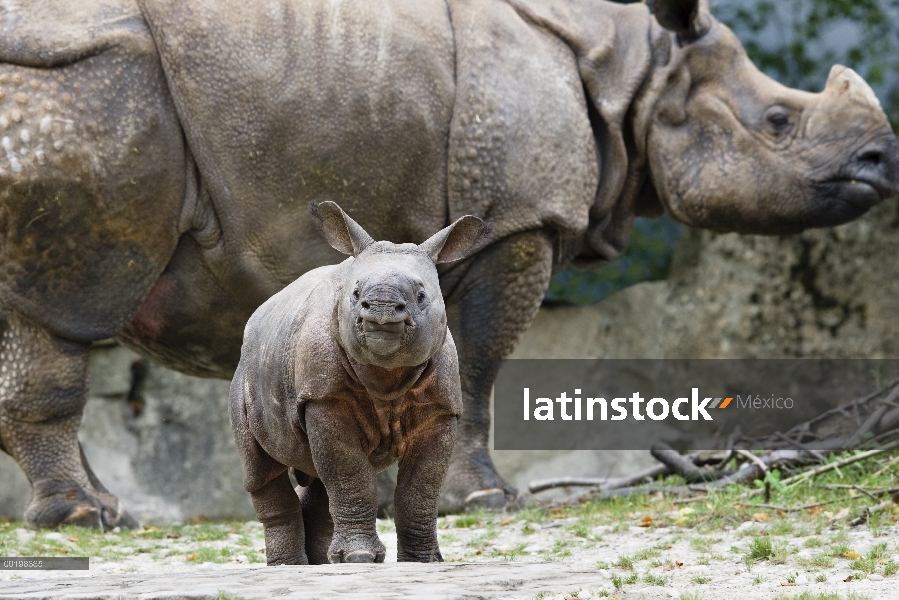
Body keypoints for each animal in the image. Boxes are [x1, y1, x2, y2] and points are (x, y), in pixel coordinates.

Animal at [230, 200, 486, 564]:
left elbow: (421, 488)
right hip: (245, 375)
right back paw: (290, 566)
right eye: (354, 293)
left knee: (316, 477)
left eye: (422, 295)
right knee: (261, 470)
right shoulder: (324, 396)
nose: (380, 308)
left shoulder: (440, 407)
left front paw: (422, 561)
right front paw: (359, 556)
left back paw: (321, 564)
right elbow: (348, 471)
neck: (386, 374)